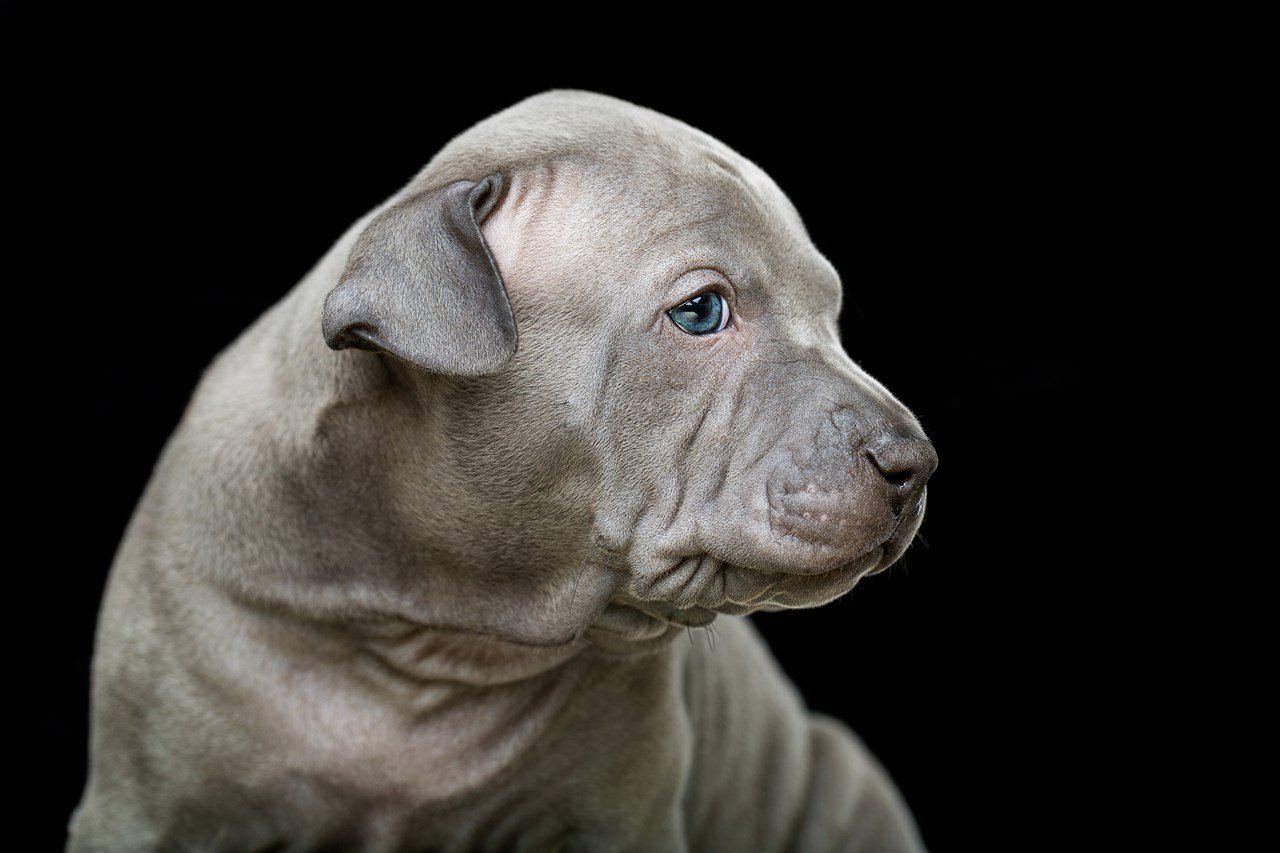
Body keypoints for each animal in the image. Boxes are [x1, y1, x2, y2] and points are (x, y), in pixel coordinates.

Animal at [67, 89, 931, 845]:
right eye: (700, 311)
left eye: (833, 314)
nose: (915, 462)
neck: (435, 630)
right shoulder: (141, 814)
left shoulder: (617, 823)